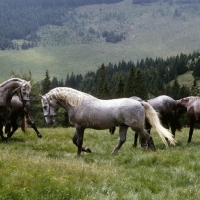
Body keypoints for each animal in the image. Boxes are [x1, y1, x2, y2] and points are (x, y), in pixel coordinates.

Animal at [40, 86, 175, 155]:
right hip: (123, 126)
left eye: (45, 106)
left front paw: (79, 155)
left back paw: (153, 151)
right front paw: (87, 150)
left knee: (148, 137)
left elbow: (78, 141)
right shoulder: (78, 127)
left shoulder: (79, 127)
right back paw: (113, 152)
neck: (78, 104)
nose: (49, 122)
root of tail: (140, 102)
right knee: (122, 140)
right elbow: (74, 141)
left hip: (136, 127)